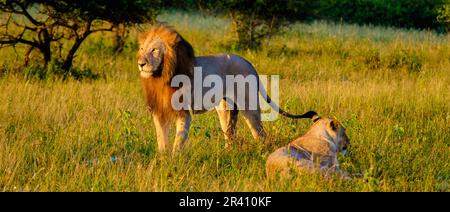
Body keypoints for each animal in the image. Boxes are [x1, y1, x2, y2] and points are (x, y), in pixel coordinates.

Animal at [137, 25, 312, 152]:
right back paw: (228, 153)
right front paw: (162, 160)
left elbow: (178, 141)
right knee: (230, 133)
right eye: (142, 49)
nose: (141, 63)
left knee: (260, 134)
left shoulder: (184, 113)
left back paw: (262, 154)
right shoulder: (159, 111)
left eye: (154, 49)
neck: (160, 77)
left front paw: (174, 161)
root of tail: (247, 62)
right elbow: (161, 140)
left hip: (249, 106)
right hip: (225, 108)